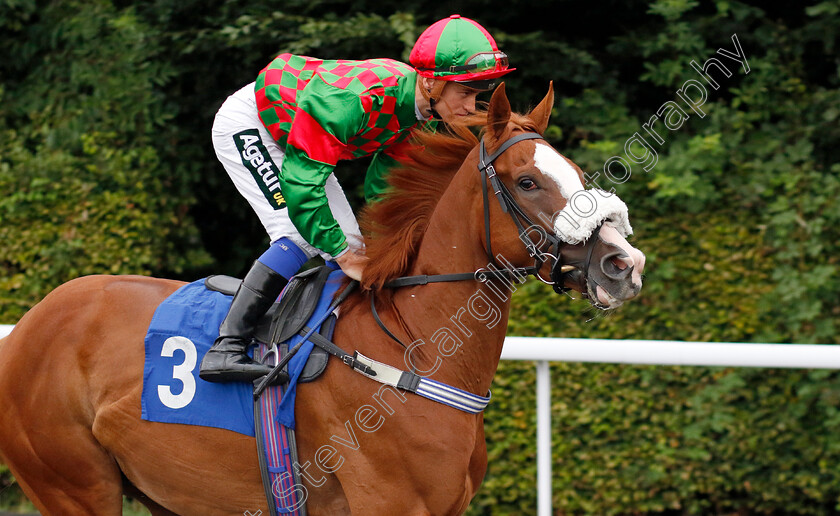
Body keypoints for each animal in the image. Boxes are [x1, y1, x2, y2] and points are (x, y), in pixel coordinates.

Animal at [0, 82, 644, 512]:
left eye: (575, 170)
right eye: (527, 182)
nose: (623, 265)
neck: (410, 348)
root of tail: (30, 324)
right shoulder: (389, 503)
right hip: (73, 485)